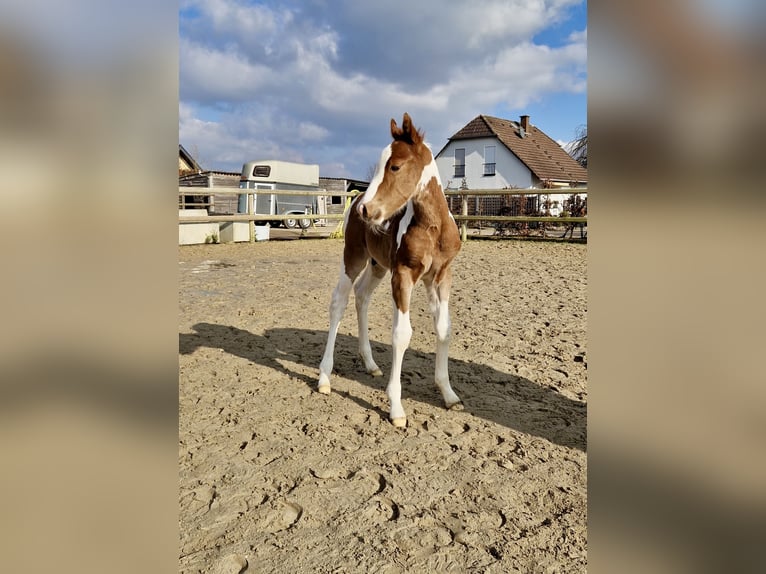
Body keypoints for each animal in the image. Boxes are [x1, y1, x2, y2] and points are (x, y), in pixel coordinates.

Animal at [317, 113, 463, 428]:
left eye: (395, 166)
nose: (367, 210)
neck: (432, 227)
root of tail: (355, 200)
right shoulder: (404, 274)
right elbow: (401, 334)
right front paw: (396, 407)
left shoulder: (440, 276)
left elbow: (444, 329)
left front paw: (448, 394)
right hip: (353, 257)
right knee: (339, 302)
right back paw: (324, 377)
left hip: (377, 266)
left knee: (362, 297)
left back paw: (370, 364)